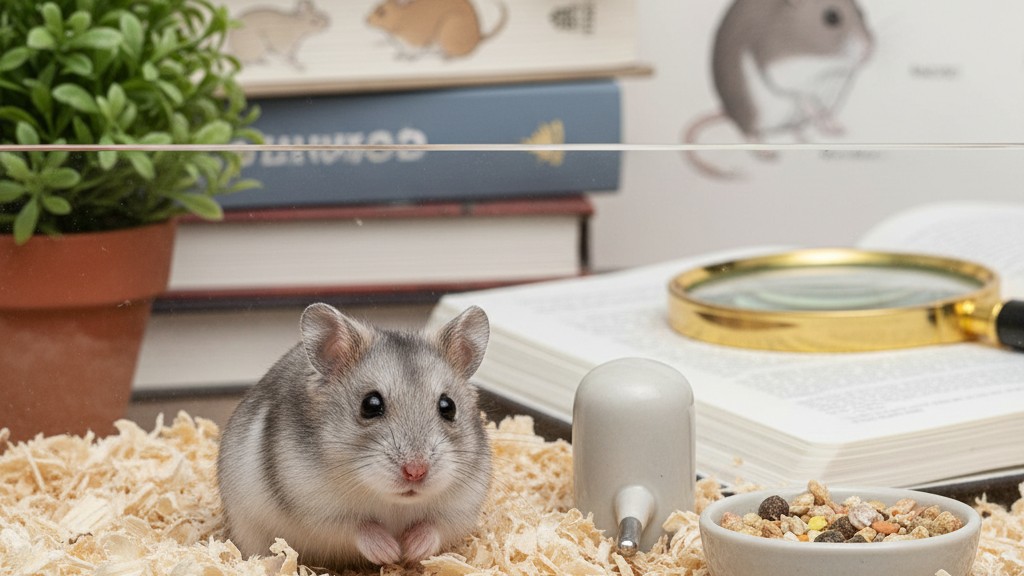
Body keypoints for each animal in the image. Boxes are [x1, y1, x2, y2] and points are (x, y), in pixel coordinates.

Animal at [217, 303, 493, 569]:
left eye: (448, 407)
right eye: (370, 404)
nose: (416, 472)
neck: (393, 503)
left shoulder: (460, 510)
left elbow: (433, 528)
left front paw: (411, 550)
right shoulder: (317, 510)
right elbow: (358, 527)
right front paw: (390, 552)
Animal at [367, 0, 508, 59]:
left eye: (382, 13)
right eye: (375, 8)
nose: (365, 20)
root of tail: (478, 37)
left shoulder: (419, 39)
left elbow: (417, 49)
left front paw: (408, 57)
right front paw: (399, 55)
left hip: (448, 31)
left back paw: (443, 56)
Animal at [684, 0, 874, 178]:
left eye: (861, 12)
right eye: (831, 17)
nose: (868, 50)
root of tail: (728, 112)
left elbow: (821, 107)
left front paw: (834, 126)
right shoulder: (778, 66)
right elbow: (801, 95)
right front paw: (816, 114)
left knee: (792, 126)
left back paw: (804, 137)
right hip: (752, 110)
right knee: (749, 132)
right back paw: (766, 152)